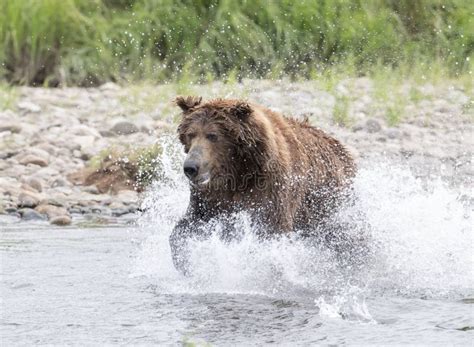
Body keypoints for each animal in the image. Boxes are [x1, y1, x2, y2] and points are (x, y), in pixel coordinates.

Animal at [169, 96, 356, 274]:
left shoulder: (268, 187)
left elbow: (270, 228)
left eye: (213, 135)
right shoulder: (210, 197)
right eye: (191, 134)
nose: (191, 167)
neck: (238, 172)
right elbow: (188, 225)